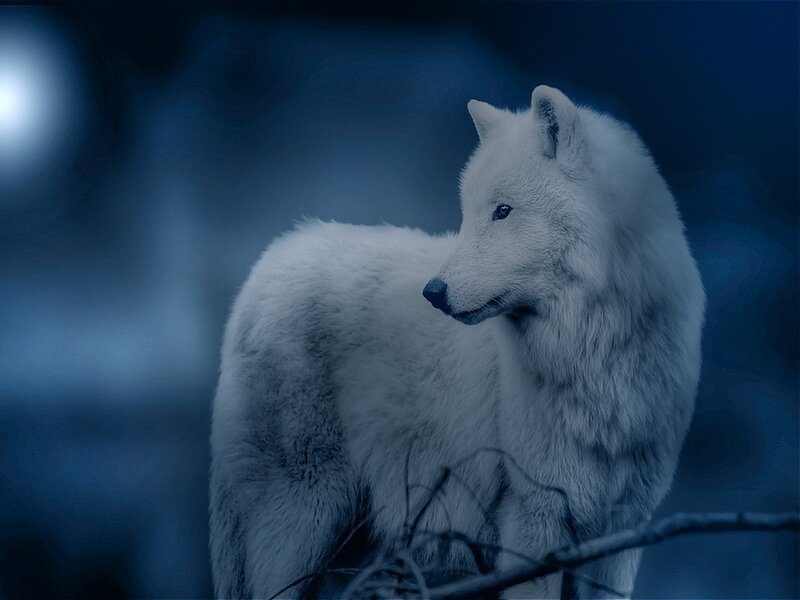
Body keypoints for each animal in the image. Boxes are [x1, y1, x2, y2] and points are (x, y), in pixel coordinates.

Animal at [209, 85, 705, 599]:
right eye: (467, 213)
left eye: (502, 211)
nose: (433, 292)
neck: (595, 355)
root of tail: (270, 262)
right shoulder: (536, 519)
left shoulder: (623, 533)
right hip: (303, 520)